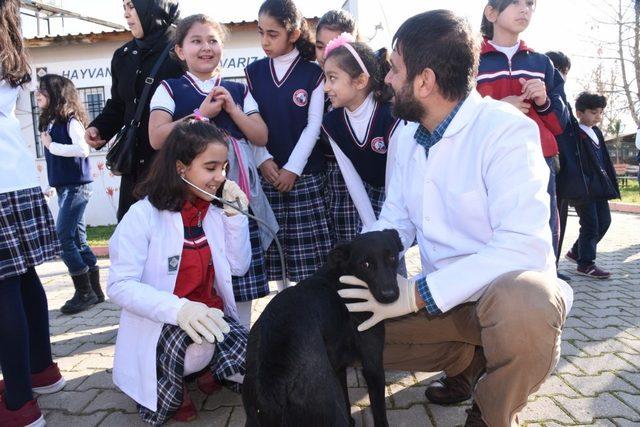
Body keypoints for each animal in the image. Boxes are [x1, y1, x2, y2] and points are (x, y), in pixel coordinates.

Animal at [242, 231, 402, 427]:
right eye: (365, 264)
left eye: (392, 257)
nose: (390, 296)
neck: (344, 280)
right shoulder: (373, 365)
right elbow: (379, 414)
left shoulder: (338, 366)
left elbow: (347, 400)